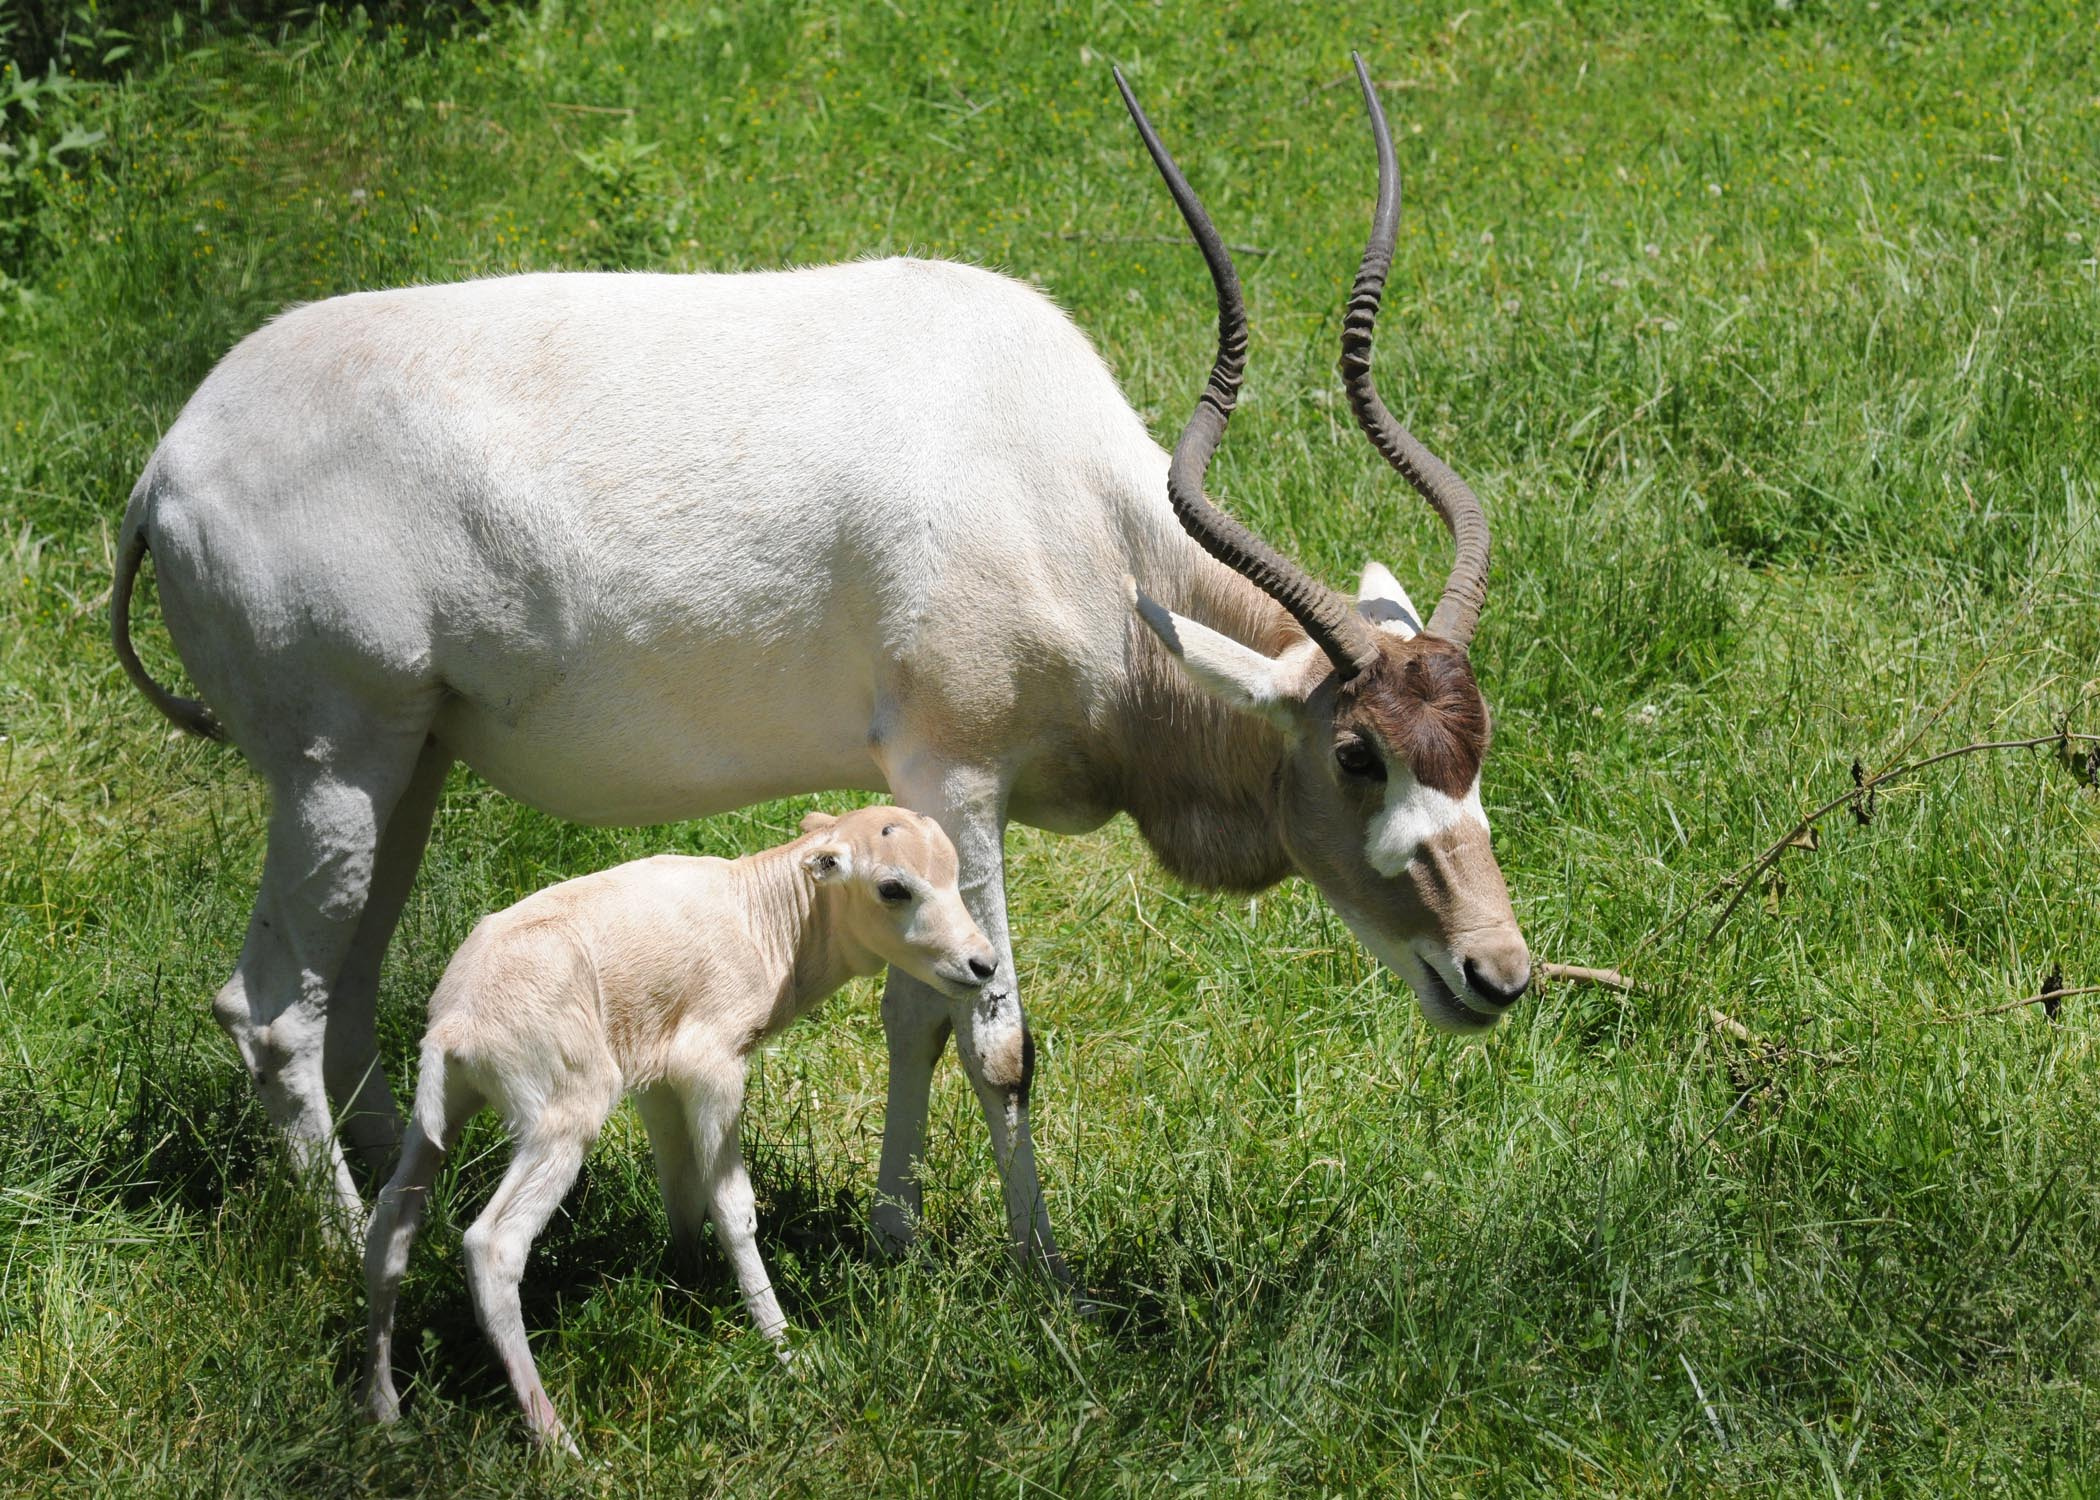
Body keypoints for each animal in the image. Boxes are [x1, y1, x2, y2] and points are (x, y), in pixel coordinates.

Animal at [110, 61, 1528, 1277]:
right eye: (1355, 753)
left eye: (1474, 741)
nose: (1498, 976)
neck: (1065, 497)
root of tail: (166, 468)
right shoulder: (959, 774)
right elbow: (997, 1040)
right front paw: (1046, 1276)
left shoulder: (914, 799)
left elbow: (919, 1009)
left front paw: (898, 1237)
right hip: (333, 769)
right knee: (274, 1011)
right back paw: (345, 1243)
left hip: (407, 765)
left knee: (347, 997)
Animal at [361, 806, 999, 1445]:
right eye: (893, 888)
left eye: (953, 872)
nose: (984, 963)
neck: (764, 921)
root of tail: (454, 1025)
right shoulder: (710, 1064)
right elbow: (733, 1207)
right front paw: (786, 1352)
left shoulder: (659, 1080)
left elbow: (681, 1191)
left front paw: (688, 1287)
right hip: (564, 1112)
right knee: (493, 1245)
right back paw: (557, 1439)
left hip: (443, 1111)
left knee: (390, 1219)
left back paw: (385, 1409)